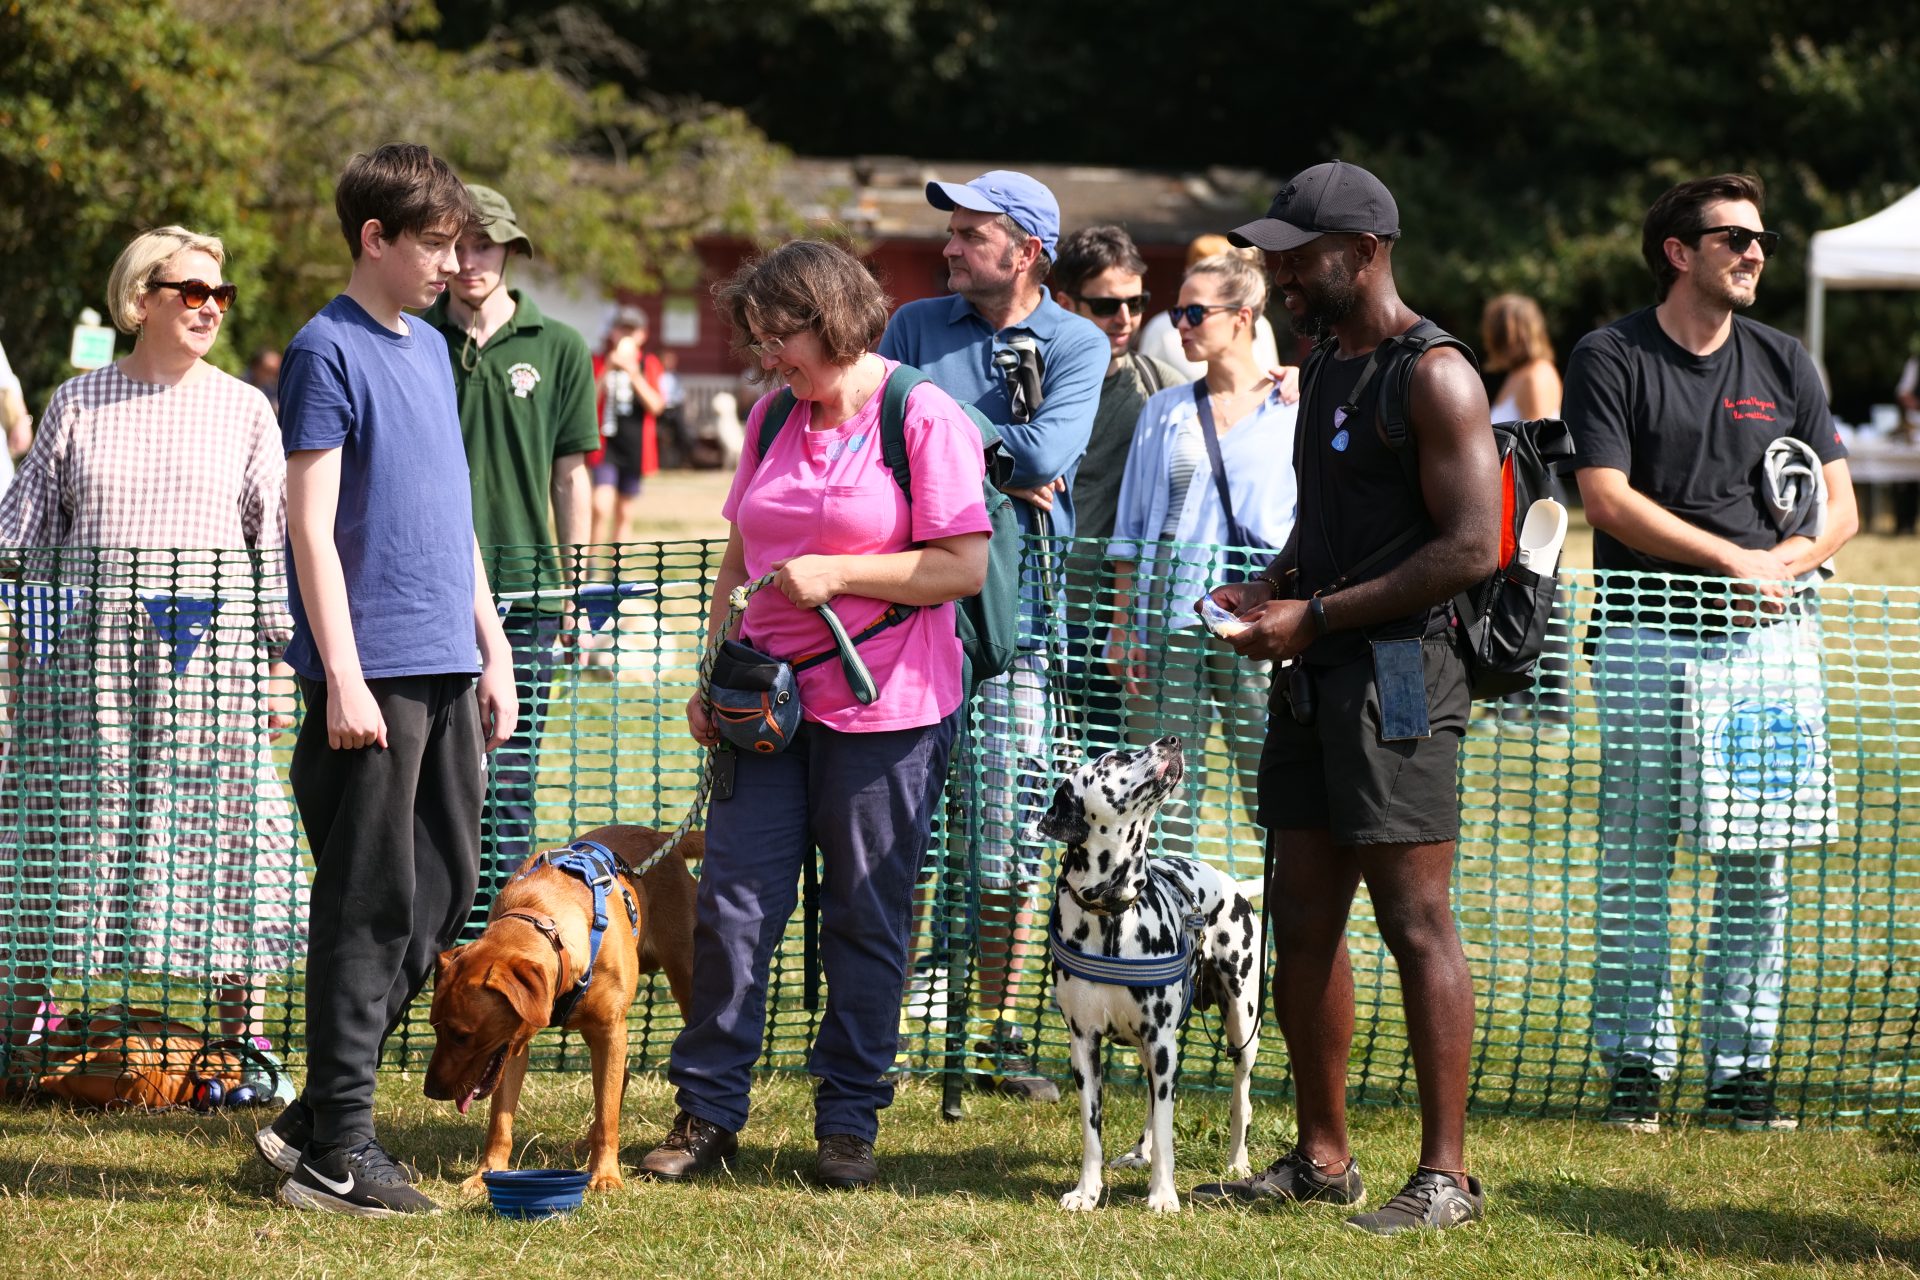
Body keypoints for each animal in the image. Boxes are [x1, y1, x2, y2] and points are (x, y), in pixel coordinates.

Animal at [424, 823, 700, 1193]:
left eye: (462, 1035)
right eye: (435, 1029)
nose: (431, 1091)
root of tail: (662, 837)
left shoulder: (611, 1029)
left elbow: (608, 1115)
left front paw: (606, 1175)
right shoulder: (511, 1046)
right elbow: (500, 1122)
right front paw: (486, 1174)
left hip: (685, 979)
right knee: (620, 1079)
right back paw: (583, 1144)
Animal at [1037, 737, 1261, 1214]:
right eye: (1114, 759)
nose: (1171, 741)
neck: (1111, 911)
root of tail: (1229, 883)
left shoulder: (1161, 1042)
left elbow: (1167, 1129)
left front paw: (1162, 1195)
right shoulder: (1085, 1046)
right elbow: (1092, 1132)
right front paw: (1086, 1192)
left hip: (1241, 1028)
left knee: (1241, 1097)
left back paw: (1237, 1162)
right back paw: (1140, 1152)